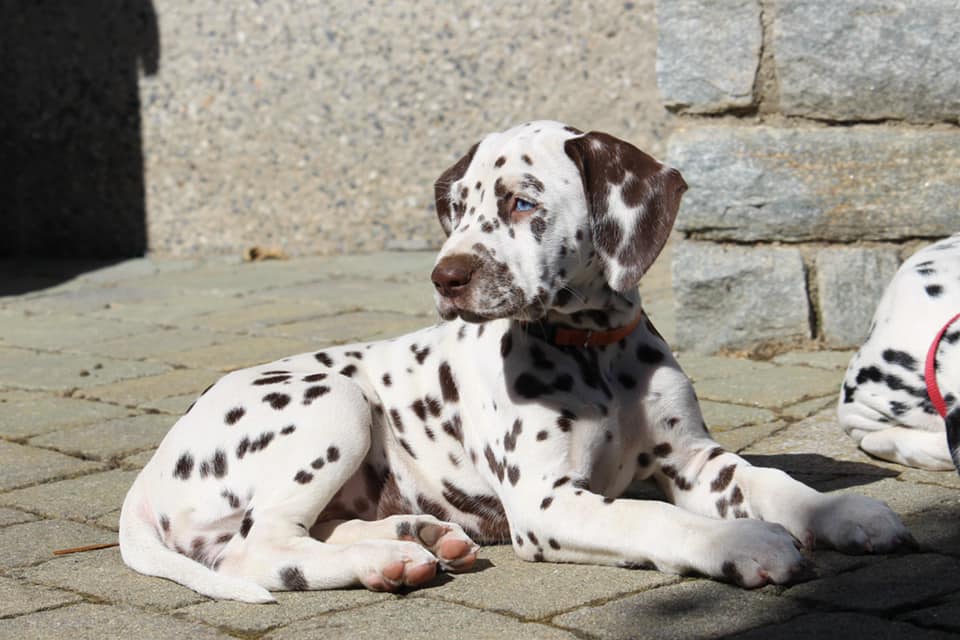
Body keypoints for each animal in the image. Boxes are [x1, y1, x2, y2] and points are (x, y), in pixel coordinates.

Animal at [120, 121, 916, 604]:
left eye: (522, 203)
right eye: (458, 206)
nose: (445, 276)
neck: (595, 355)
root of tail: (150, 473)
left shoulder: (696, 460)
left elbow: (774, 482)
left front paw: (846, 514)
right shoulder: (546, 501)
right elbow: (651, 519)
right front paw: (745, 542)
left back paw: (414, 539)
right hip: (335, 401)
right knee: (256, 550)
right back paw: (381, 560)